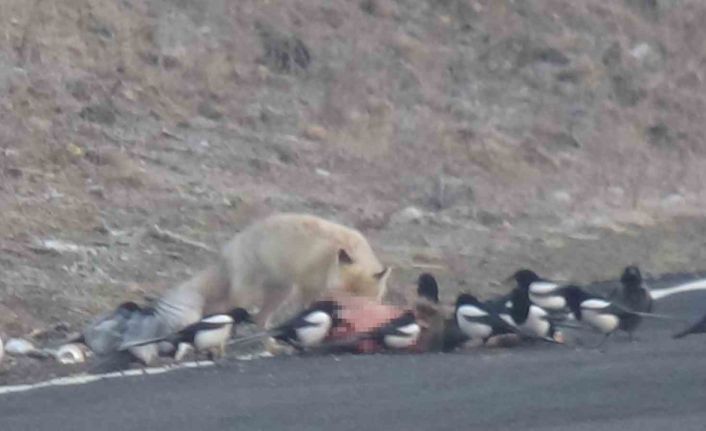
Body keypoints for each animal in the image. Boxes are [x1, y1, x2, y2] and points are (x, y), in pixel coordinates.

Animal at [117, 213, 390, 362]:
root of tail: (229, 249)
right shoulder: (308, 287)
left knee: (257, 320)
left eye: (363, 302)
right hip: (248, 296)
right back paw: (219, 347)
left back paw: (267, 346)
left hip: (279, 292)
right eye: (343, 298)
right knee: (225, 316)